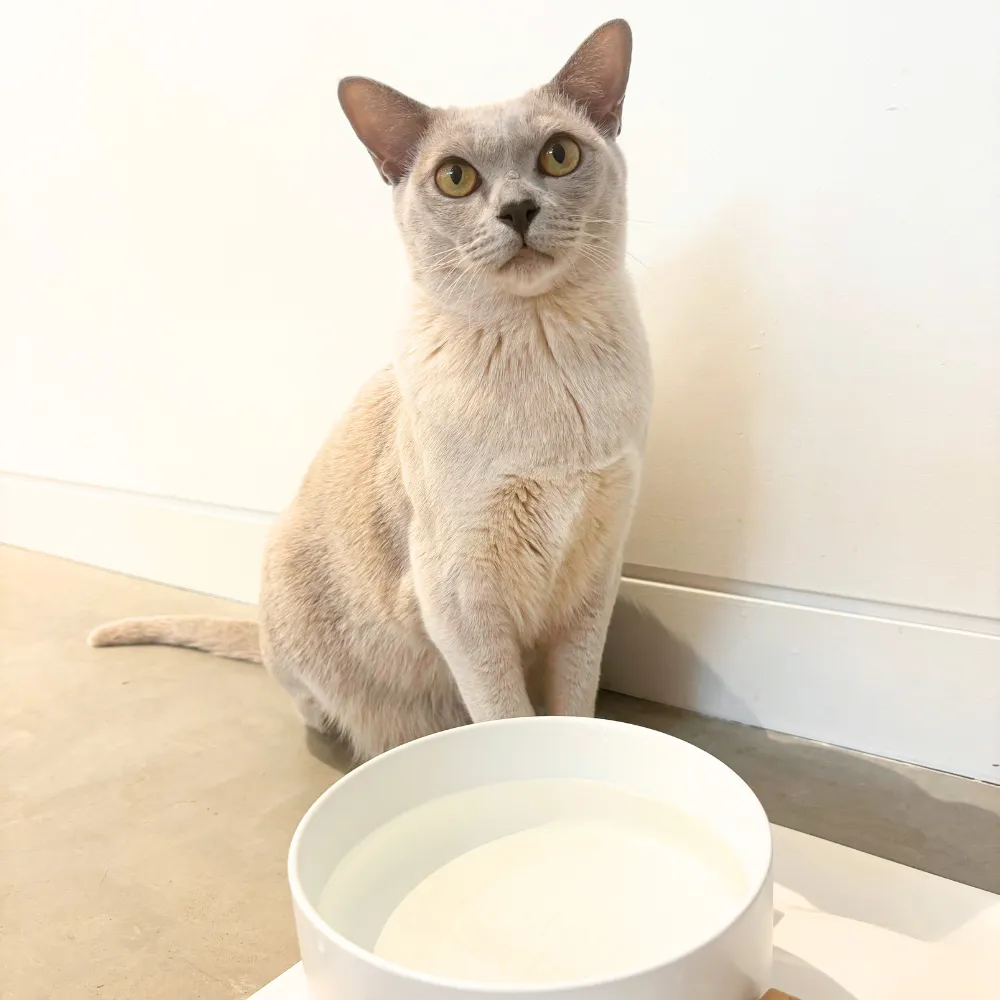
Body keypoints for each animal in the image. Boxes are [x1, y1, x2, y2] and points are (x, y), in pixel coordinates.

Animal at [90, 19, 652, 760]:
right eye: (455, 177)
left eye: (558, 156)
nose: (518, 209)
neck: (547, 356)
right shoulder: (462, 598)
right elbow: (508, 715)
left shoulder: (593, 578)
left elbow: (574, 706)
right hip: (298, 597)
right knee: (326, 712)